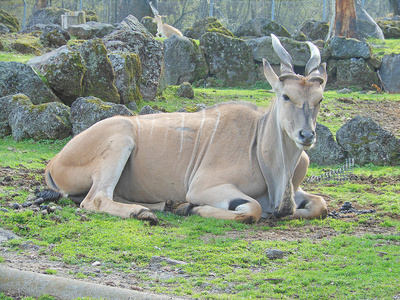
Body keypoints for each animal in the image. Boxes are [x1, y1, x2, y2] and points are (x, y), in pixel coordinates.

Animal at [45, 34, 328, 225]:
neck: (258, 144)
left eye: (319, 100)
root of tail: (54, 162)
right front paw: (191, 208)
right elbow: (253, 209)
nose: (307, 135)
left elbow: (320, 205)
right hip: (121, 140)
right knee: (95, 199)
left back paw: (165, 204)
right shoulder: (202, 187)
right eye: (286, 96)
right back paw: (145, 212)